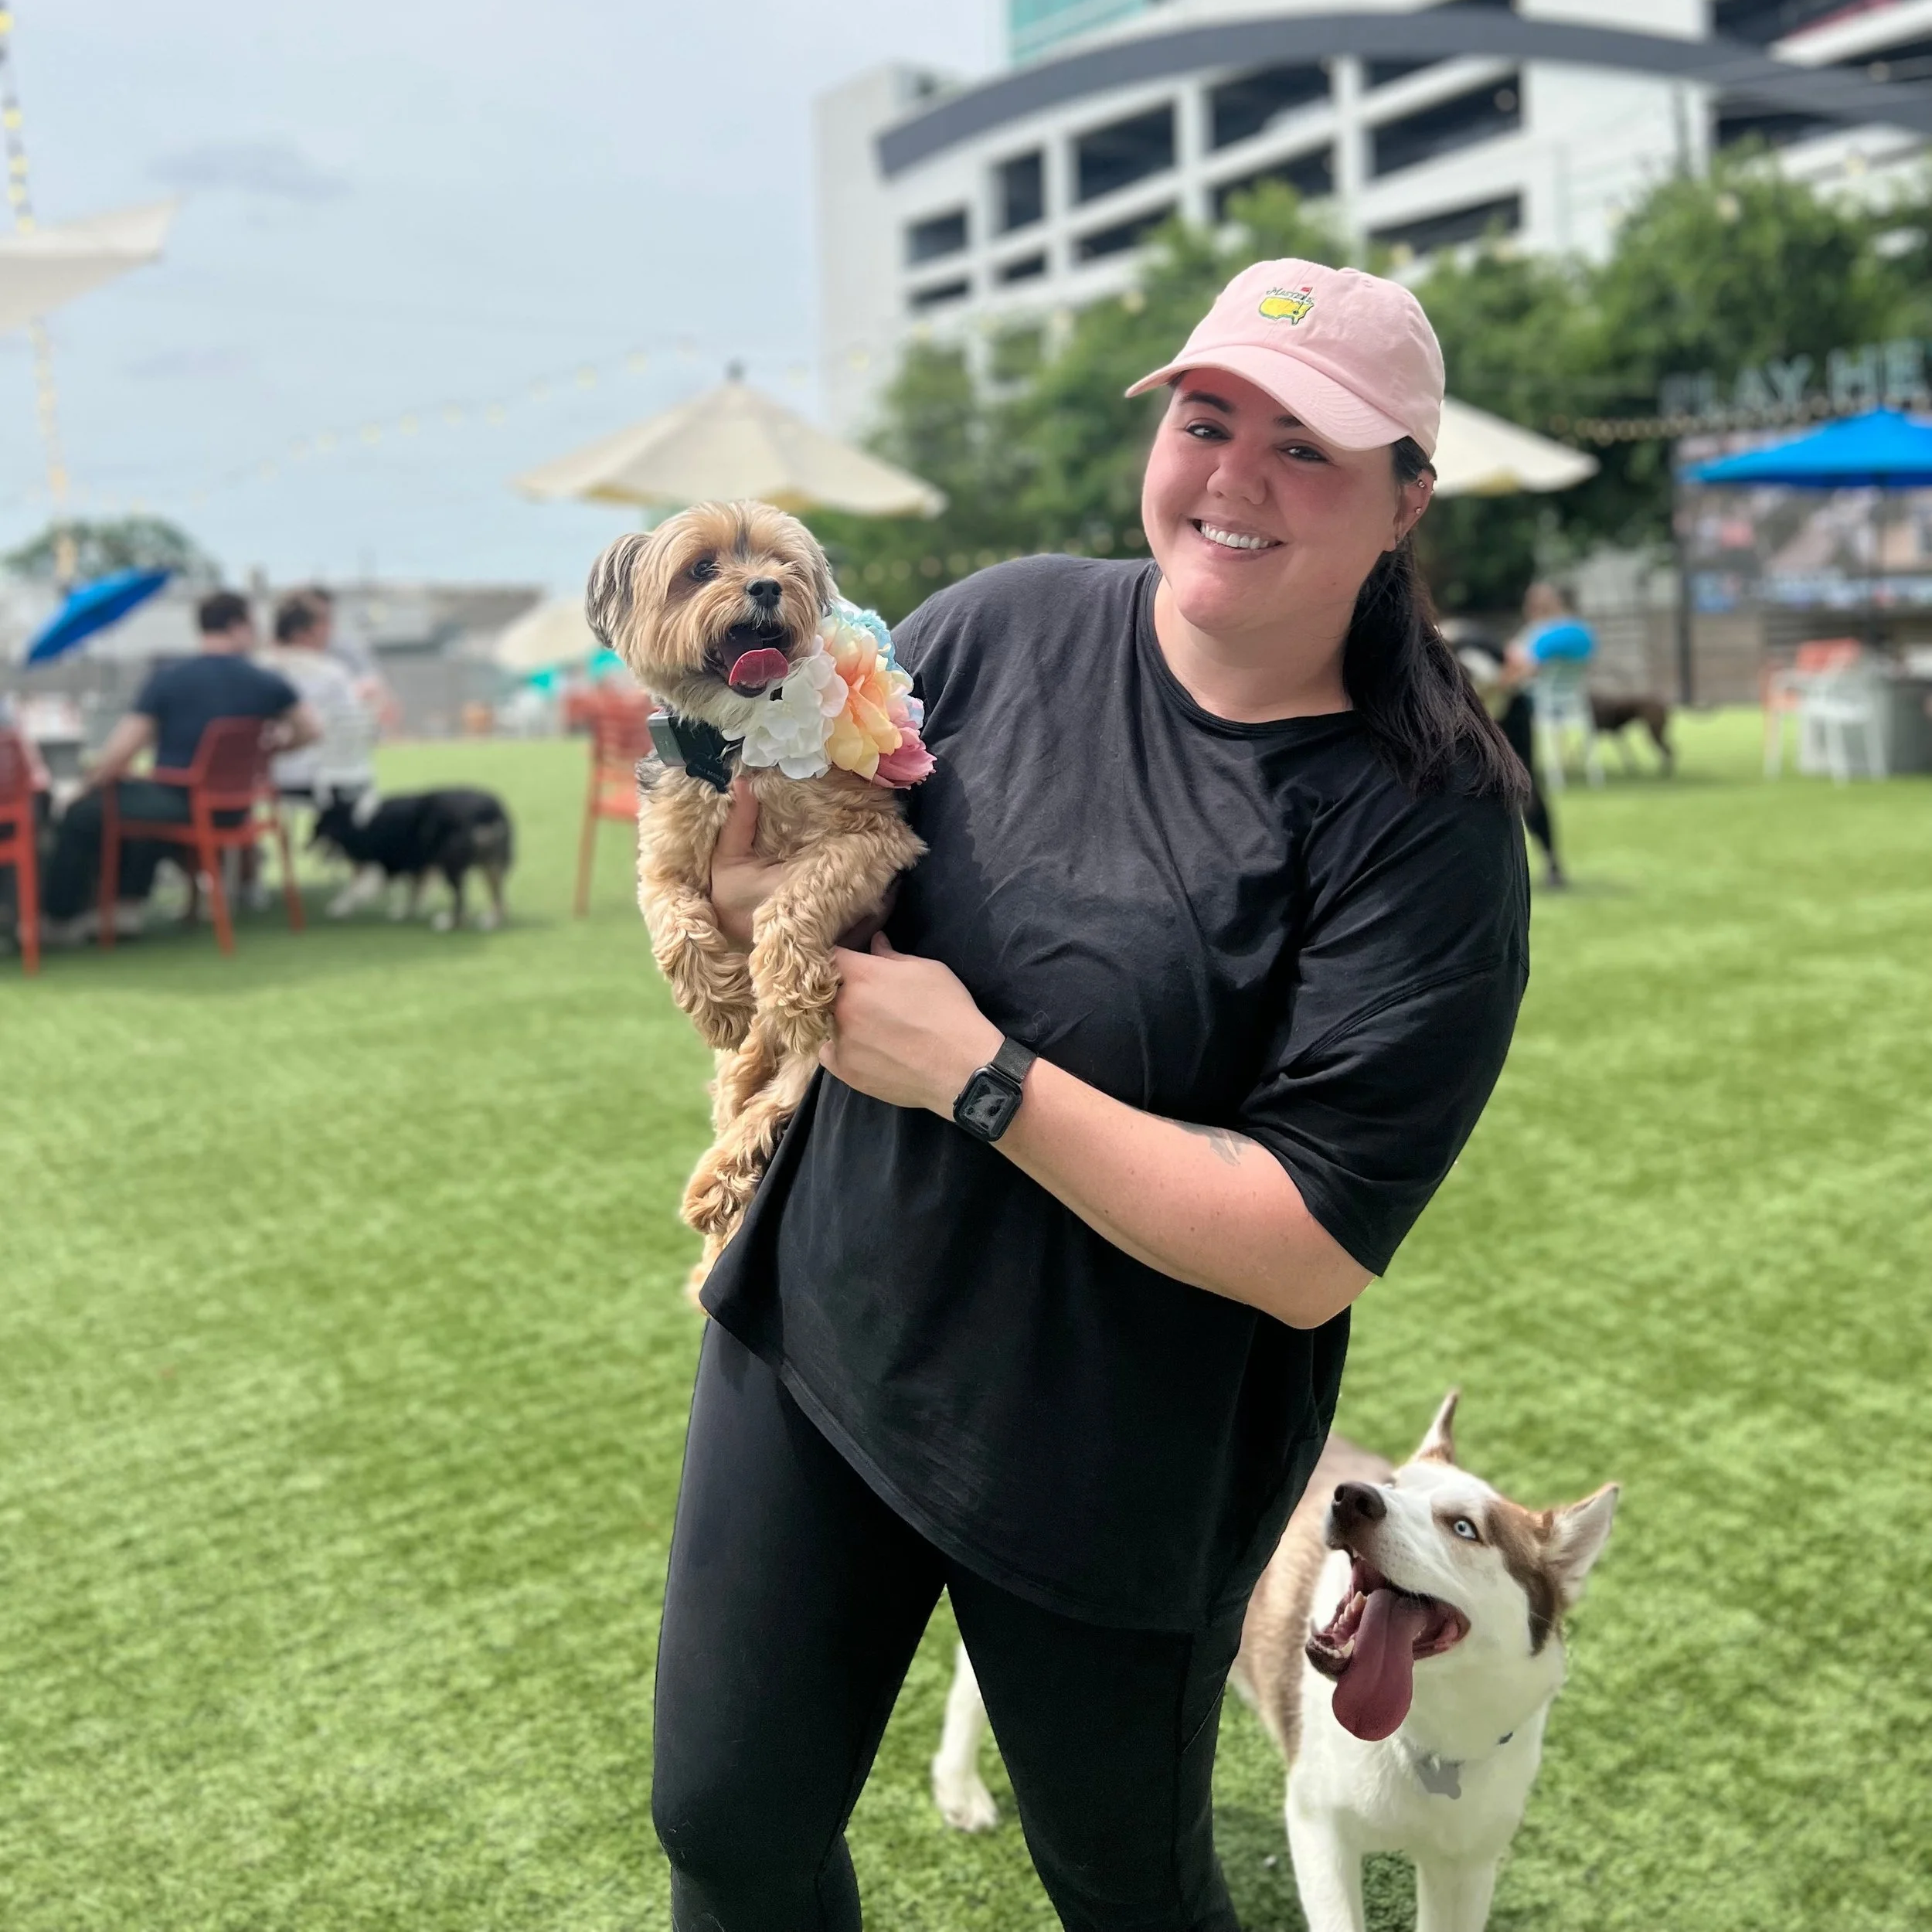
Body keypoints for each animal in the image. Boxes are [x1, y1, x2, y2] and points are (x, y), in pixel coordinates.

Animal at [311, 788, 513, 931]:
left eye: (317, 830)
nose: (307, 847)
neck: (352, 822)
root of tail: (491, 810)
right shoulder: (416, 865)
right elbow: (413, 891)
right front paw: (405, 913)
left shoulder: (381, 867)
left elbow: (354, 891)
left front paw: (338, 908)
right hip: (490, 865)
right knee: (499, 896)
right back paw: (491, 921)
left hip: (451, 861)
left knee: (461, 898)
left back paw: (449, 923)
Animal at [585, 501, 930, 1295]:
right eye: (701, 568)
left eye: (783, 564)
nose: (768, 588)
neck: (738, 743)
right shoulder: (664, 858)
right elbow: (674, 924)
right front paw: (716, 1002)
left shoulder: (873, 839)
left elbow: (792, 898)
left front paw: (791, 986)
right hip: (737, 1069)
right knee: (743, 1096)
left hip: (807, 1063)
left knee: (782, 1096)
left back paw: (715, 1185)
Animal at [931, 1393, 1617, 1932]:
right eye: (1393, 1486)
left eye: (1464, 1528)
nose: (1354, 1498)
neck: (1425, 1737)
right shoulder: (1318, 1828)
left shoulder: (1467, 1865)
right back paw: (959, 1786)